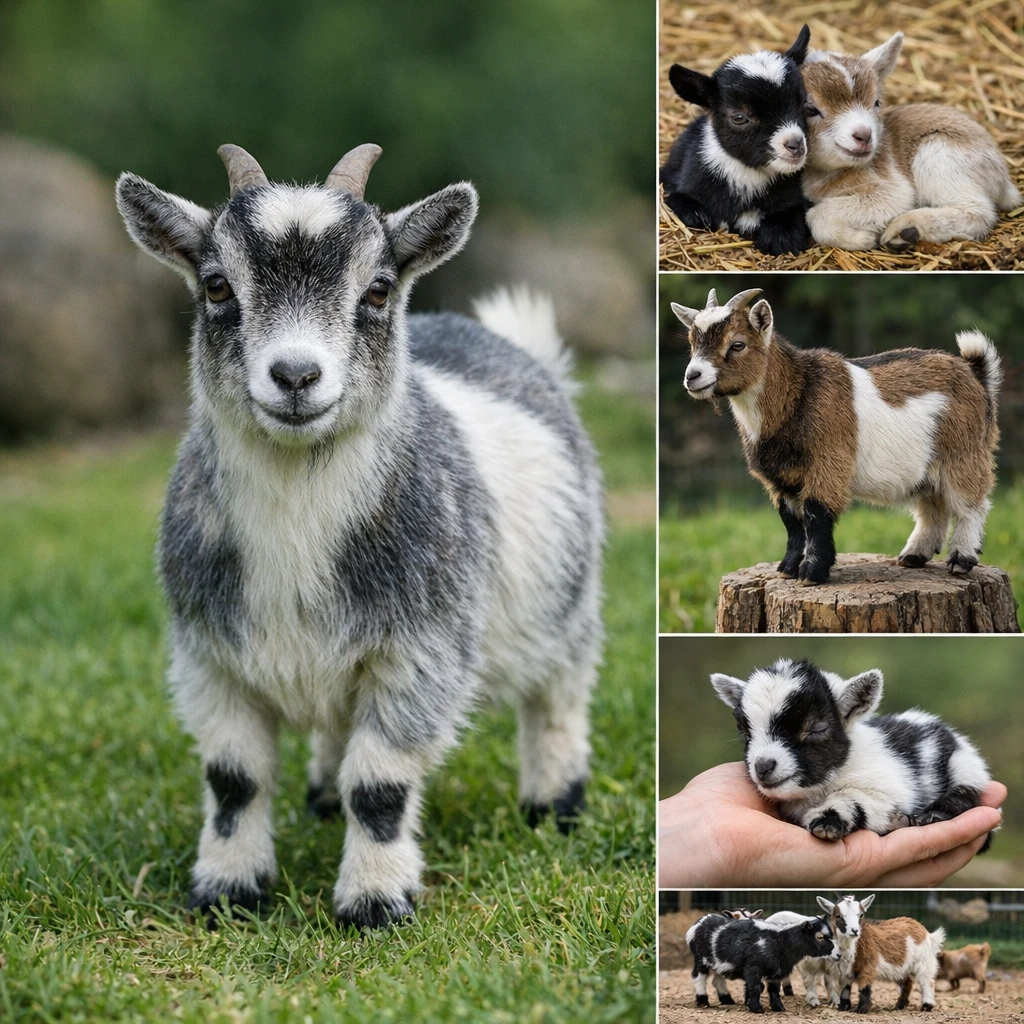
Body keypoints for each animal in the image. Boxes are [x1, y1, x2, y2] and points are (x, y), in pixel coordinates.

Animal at [116, 144, 603, 929]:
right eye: (217, 286)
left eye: (376, 291)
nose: (295, 375)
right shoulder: (209, 657)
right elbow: (234, 779)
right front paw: (227, 890)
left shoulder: (422, 650)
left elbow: (379, 784)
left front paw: (375, 901)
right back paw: (319, 795)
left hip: (570, 605)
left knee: (557, 699)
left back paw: (554, 804)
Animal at [672, 288, 1001, 583]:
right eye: (692, 342)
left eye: (737, 344)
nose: (692, 376)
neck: (798, 390)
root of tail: (974, 373)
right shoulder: (782, 479)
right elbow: (792, 522)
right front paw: (788, 568)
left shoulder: (827, 463)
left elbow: (816, 515)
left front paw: (812, 573)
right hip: (925, 469)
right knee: (932, 507)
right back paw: (913, 555)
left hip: (964, 453)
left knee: (972, 504)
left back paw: (961, 560)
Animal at [688, 914, 839, 1013]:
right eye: (819, 937)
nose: (839, 954)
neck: (780, 940)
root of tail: (699, 922)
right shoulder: (753, 967)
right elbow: (756, 987)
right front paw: (756, 1008)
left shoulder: (777, 970)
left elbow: (773, 990)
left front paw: (778, 1008)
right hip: (701, 958)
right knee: (698, 977)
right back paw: (703, 1001)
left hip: (718, 961)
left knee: (717, 979)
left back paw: (727, 1000)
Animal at [711, 658, 993, 846]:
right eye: (746, 733)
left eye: (817, 728)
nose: (763, 766)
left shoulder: (888, 788)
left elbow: (853, 797)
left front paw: (827, 822)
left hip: (965, 766)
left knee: (966, 792)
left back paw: (933, 814)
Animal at [800, 33, 1022, 251]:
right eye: (810, 110)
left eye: (876, 102)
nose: (864, 135)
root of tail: (1002, 177)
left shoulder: (893, 192)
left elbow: (815, 216)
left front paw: (864, 239)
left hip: (940, 157)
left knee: (978, 212)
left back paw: (906, 230)